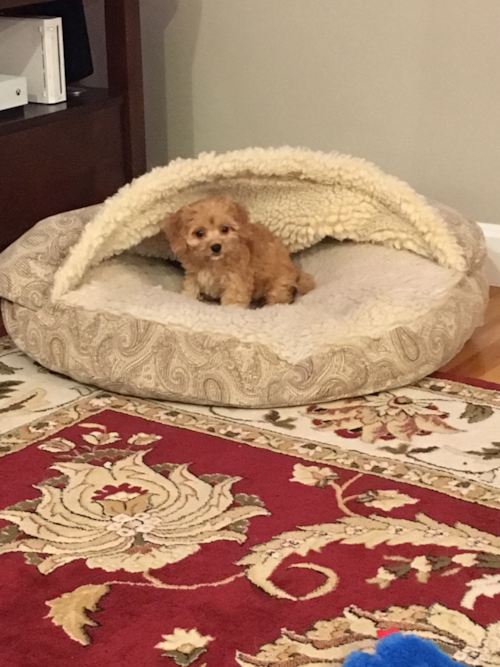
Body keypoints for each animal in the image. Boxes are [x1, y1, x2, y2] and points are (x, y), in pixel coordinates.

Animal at [162, 193, 314, 308]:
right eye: (199, 233)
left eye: (225, 229)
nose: (216, 246)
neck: (212, 263)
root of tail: (294, 269)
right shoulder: (194, 276)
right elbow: (190, 289)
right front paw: (187, 298)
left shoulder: (236, 280)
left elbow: (233, 302)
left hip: (278, 284)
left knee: (279, 298)